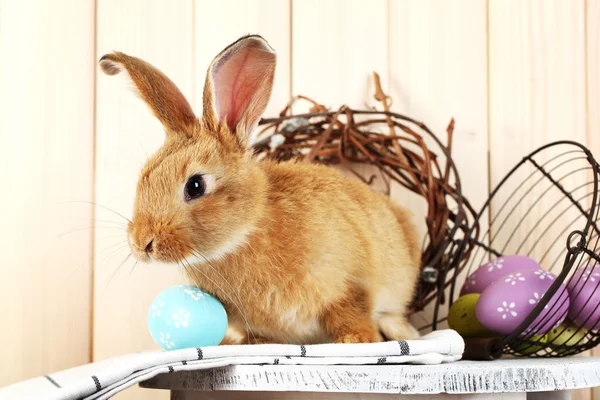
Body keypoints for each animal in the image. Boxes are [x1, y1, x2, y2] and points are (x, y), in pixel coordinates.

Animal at [99, 36, 422, 346]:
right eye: (144, 178)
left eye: (195, 185)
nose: (141, 243)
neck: (246, 231)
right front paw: (254, 343)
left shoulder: (350, 284)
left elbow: (352, 312)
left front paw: (355, 340)